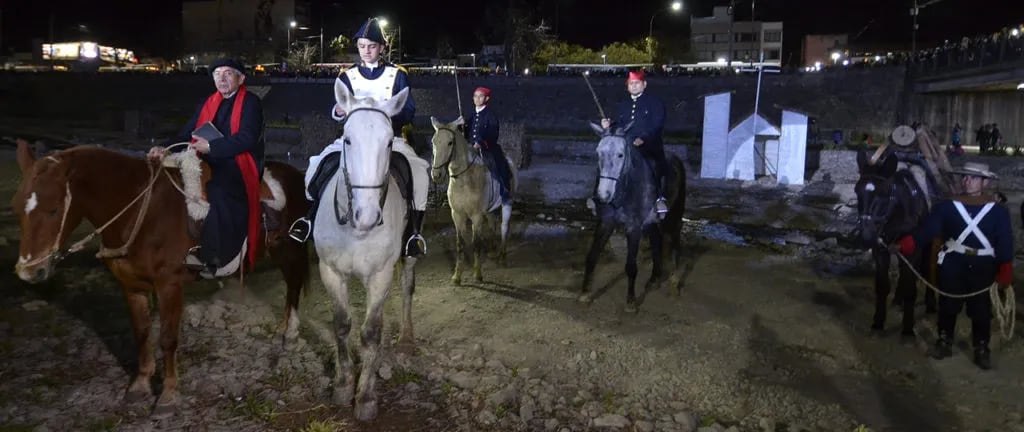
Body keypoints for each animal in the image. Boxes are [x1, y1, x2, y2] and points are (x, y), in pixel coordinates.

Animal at [11, 139, 307, 415]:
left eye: (53, 209)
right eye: (17, 208)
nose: (29, 271)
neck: (142, 212)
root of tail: (295, 174)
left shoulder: (169, 286)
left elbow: (167, 338)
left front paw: (168, 394)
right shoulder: (131, 286)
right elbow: (142, 333)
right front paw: (140, 384)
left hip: (289, 248)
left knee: (294, 283)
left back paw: (290, 332)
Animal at [301, 81, 417, 421]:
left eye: (389, 141)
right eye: (348, 139)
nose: (367, 216)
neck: (355, 229)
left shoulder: (379, 276)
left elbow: (370, 334)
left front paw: (365, 396)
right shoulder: (330, 271)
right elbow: (342, 325)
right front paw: (343, 384)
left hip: (408, 255)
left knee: (407, 287)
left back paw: (406, 339)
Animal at [428, 114, 516, 284]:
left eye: (450, 142)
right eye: (433, 142)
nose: (436, 175)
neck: (464, 180)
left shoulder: (476, 216)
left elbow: (476, 244)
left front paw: (477, 274)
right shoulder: (457, 215)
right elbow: (460, 243)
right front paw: (457, 276)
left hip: (507, 202)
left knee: (504, 227)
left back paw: (502, 257)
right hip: (489, 210)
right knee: (492, 223)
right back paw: (493, 251)